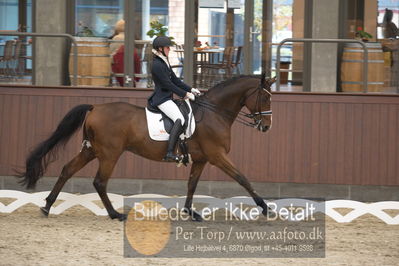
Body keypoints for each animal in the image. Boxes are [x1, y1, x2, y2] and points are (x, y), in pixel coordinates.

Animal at [17, 74, 274, 220]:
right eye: (265, 98)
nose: (266, 127)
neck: (214, 113)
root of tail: (95, 108)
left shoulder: (201, 159)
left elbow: (191, 185)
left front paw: (190, 212)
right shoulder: (217, 155)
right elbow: (242, 178)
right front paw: (265, 208)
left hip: (91, 150)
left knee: (67, 170)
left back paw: (47, 206)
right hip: (109, 153)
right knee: (99, 182)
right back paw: (115, 214)